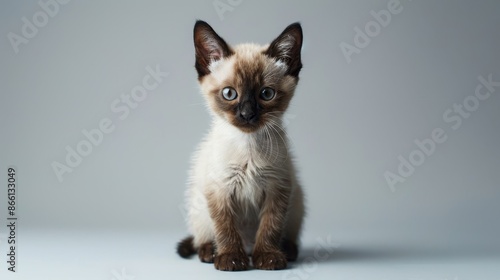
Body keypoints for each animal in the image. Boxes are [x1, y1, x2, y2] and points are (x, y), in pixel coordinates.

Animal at [178, 20, 306, 272]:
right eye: (229, 94)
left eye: (266, 93)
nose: (247, 114)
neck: (248, 144)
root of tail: (248, 246)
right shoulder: (219, 189)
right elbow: (225, 228)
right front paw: (231, 259)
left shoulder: (278, 187)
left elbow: (270, 226)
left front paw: (268, 257)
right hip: (198, 203)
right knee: (201, 237)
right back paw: (210, 252)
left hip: (297, 202)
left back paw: (286, 251)